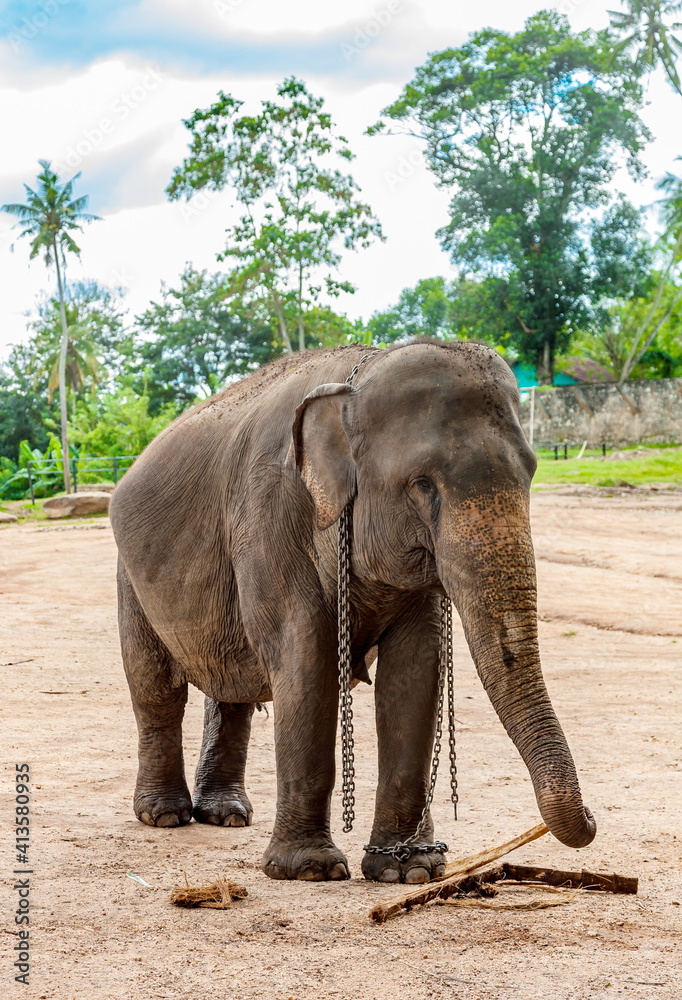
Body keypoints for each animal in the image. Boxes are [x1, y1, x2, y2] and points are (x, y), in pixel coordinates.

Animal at [109, 339, 596, 885]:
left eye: (531, 471)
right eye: (423, 484)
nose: (592, 817)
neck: (358, 377)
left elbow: (415, 672)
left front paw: (409, 869)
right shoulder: (270, 513)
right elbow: (305, 658)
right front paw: (310, 870)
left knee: (231, 688)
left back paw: (227, 816)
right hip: (129, 577)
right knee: (157, 689)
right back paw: (164, 815)